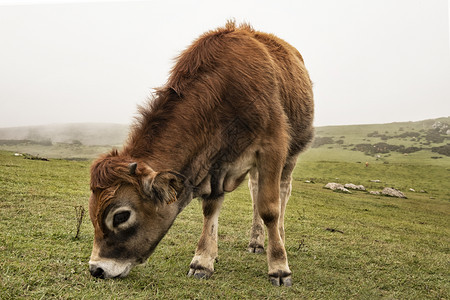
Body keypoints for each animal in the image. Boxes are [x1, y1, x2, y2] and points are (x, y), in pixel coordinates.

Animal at [88, 21, 312, 286]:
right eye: (92, 213)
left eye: (121, 216)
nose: (96, 269)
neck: (225, 90)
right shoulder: (216, 163)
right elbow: (211, 209)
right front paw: (203, 261)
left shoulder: (272, 147)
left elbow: (270, 208)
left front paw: (279, 267)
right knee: (255, 190)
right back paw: (256, 242)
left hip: (291, 154)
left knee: (282, 192)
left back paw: (280, 239)